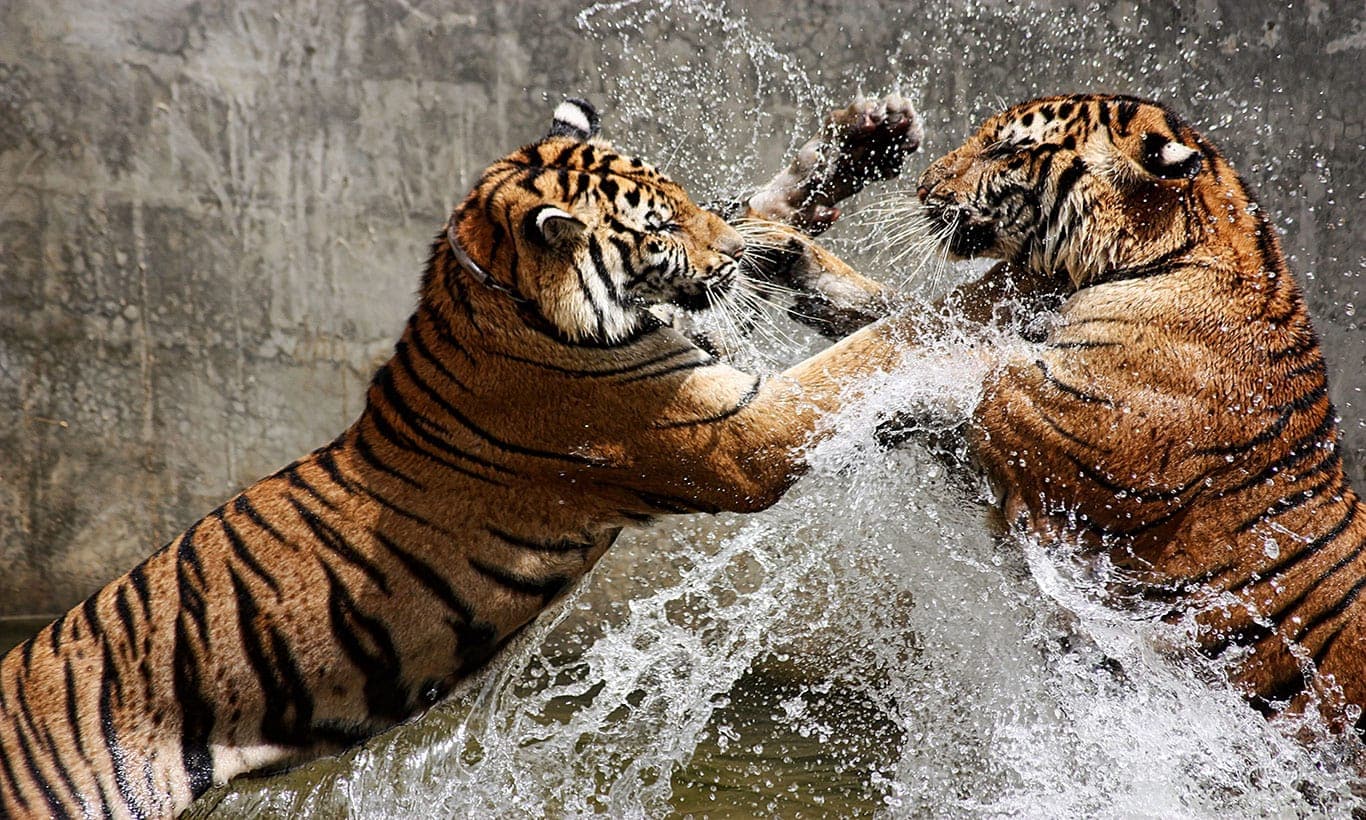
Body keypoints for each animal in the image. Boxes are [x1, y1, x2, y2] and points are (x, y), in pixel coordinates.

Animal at [0, 95, 922, 818]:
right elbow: (869, 352)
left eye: (686, 199)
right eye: (658, 229)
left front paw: (858, 146)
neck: (492, 290)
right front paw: (950, 318)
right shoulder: (733, 433)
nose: (725, 256)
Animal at [774, 93, 1366, 737]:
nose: (923, 186)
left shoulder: (1069, 430)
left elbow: (952, 357)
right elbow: (915, 318)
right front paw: (790, 257)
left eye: (1004, 148)